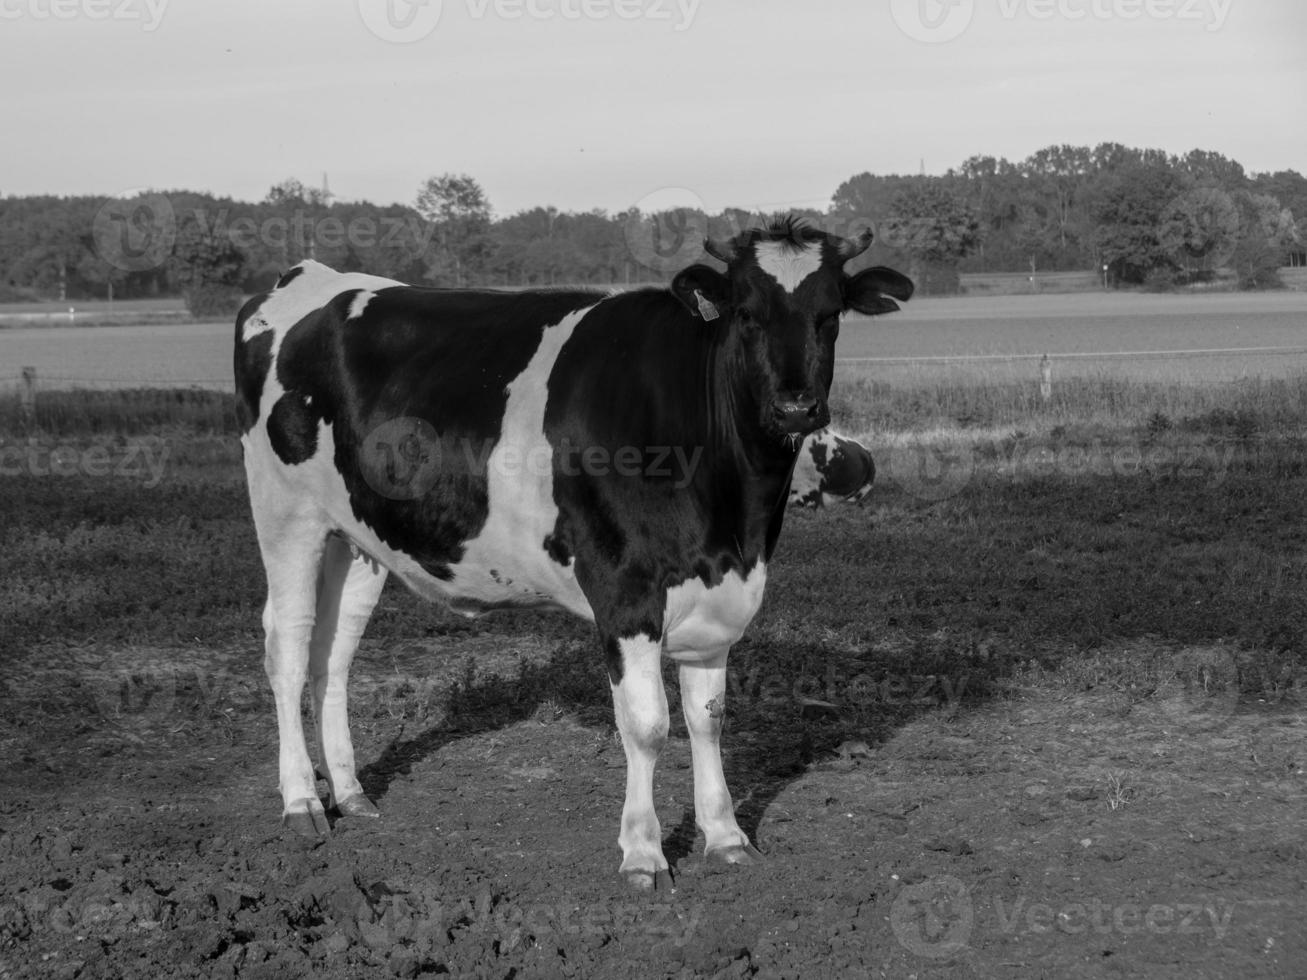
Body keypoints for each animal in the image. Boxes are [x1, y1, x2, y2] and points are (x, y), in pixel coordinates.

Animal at [232, 220, 909, 888]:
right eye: (746, 312)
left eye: (831, 313)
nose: (796, 407)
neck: (735, 519)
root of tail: (309, 274)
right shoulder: (623, 587)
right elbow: (648, 724)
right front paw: (643, 853)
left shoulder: (721, 597)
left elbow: (708, 716)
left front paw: (725, 837)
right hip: (286, 514)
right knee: (288, 646)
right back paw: (302, 801)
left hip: (358, 538)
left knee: (334, 653)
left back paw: (350, 793)